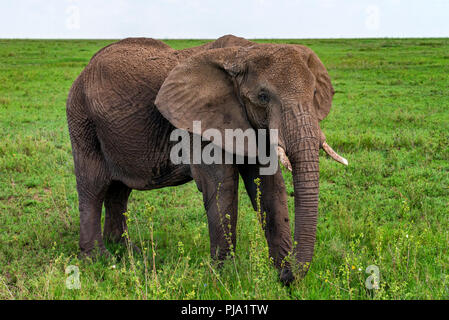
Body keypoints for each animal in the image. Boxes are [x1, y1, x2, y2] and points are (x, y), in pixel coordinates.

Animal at [67, 35, 346, 284]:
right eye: (263, 97)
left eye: (314, 93)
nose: (288, 274)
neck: (244, 53)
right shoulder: (200, 122)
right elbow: (222, 185)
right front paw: (224, 277)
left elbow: (270, 186)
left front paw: (282, 274)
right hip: (82, 119)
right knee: (94, 185)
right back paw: (99, 259)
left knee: (119, 190)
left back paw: (126, 250)